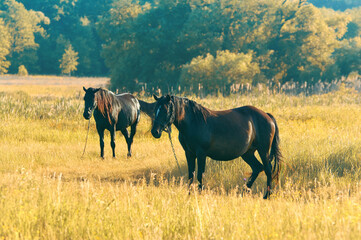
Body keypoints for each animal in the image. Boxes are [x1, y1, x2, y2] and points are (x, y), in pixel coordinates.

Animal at [150, 94, 280, 199]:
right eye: (155, 109)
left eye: (165, 110)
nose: (155, 132)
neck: (194, 121)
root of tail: (267, 116)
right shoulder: (189, 153)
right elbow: (191, 175)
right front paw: (189, 195)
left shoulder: (201, 154)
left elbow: (199, 175)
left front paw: (199, 193)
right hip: (247, 153)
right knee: (257, 168)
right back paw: (243, 191)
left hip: (263, 150)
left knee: (268, 169)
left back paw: (267, 195)